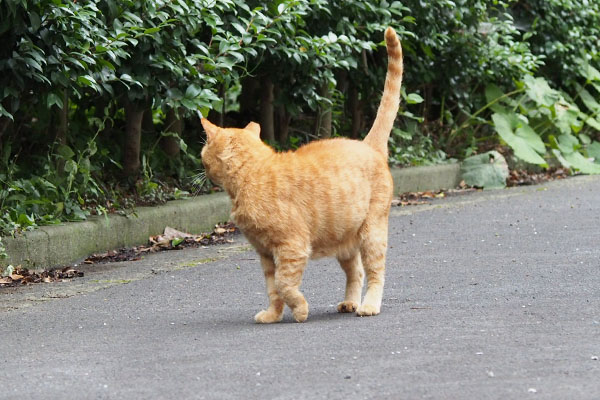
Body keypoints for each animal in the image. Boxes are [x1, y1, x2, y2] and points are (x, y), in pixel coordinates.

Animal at [202, 27, 404, 322]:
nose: (203, 171)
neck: (251, 176)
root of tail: (368, 145)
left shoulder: (291, 247)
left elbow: (285, 285)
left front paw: (300, 309)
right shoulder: (265, 253)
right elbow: (273, 289)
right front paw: (273, 315)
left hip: (372, 233)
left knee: (375, 272)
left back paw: (368, 306)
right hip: (345, 239)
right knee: (356, 272)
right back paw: (350, 302)